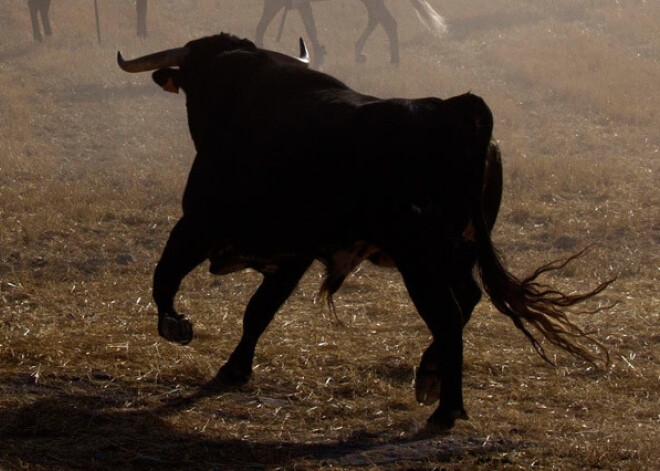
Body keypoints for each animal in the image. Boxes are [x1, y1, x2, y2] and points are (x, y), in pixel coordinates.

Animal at [116, 33, 612, 430]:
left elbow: (165, 277)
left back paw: (447, 408)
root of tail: (453, 113)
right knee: (468, 299)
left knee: (449, 316)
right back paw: (429, 375)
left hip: (420, 261)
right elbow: (259, 311)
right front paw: (236, 368)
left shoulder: (197, 224)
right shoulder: (293, 255)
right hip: (460, 251)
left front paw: (176, 325)